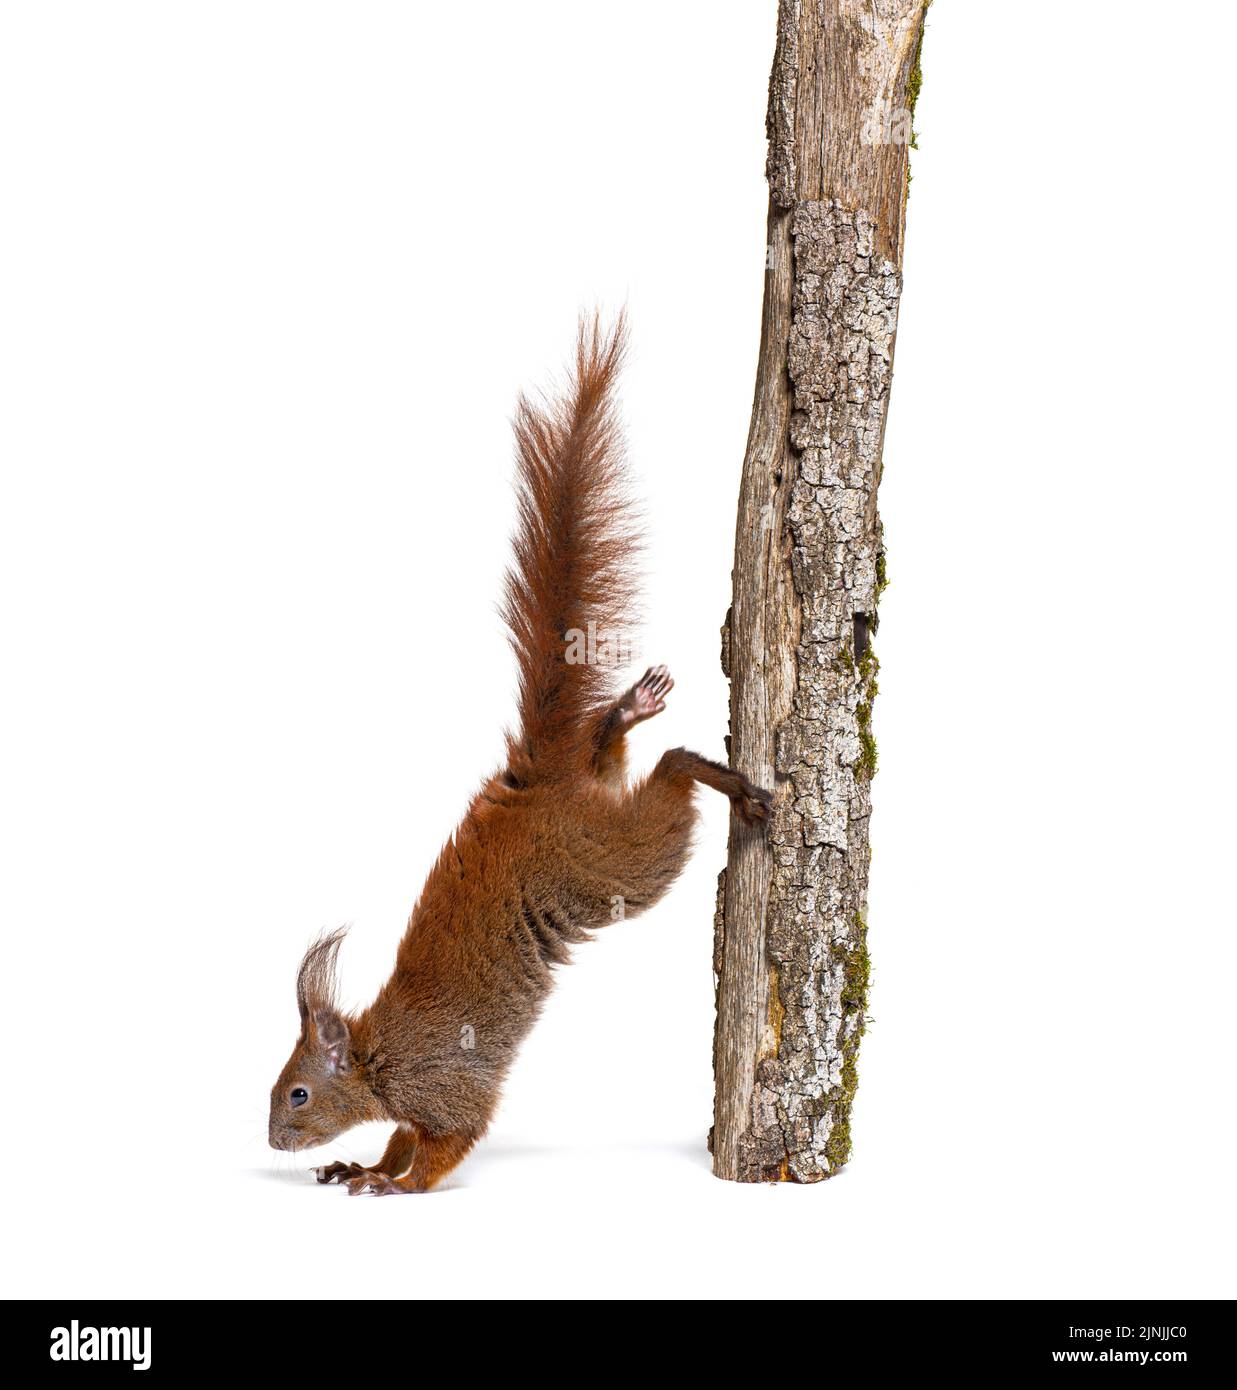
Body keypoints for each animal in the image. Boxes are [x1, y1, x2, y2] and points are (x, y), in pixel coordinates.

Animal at [268, 318, 767, 1195]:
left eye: (296, 1092)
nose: (268, 1141)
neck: (376, 1057)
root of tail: (531, 784)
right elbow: (402, 1138)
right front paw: (361, 1162)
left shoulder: (446, 1083)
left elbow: (445, 1145)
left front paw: (389, 1184)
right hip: (598, 815)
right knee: (610, 755)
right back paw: (626, 709)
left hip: (611, 863)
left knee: (668, 777)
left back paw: (720, 778)